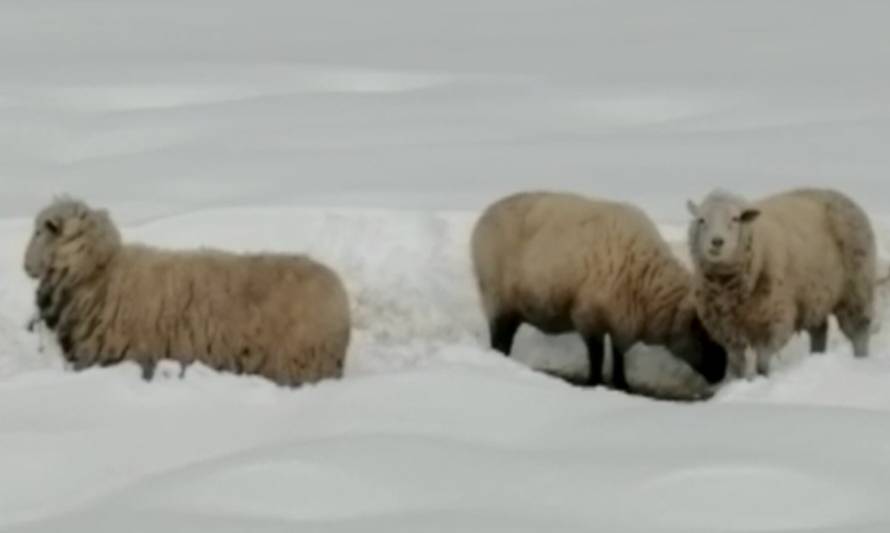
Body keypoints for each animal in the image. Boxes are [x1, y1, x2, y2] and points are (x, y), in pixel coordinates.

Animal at [468, 190, 724, 390]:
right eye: (704, 334)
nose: (722, 374)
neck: (646, 282)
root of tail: (484, 218)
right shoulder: (588, 315)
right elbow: (597, 354)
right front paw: (594, 382)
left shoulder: (622, 319)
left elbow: (619, 354)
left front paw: (622, 383)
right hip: (497, 299)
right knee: (499, 340)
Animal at [688, 187, 876, 378]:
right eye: (701, 220)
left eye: (735, 218)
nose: (717, 242)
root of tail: (838, 194)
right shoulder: (725, 328)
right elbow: (736, 364)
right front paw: (737, 380)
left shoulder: (774, 319)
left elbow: (763, 361)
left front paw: (762, 378)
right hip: (815, 295)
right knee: (819, 329)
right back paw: (816, 356)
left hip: (856, 288)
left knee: (859, 330)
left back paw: (861, 360)